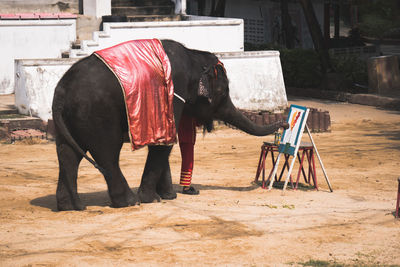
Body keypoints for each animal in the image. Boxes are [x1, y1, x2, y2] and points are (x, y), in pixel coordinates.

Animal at [53, 39, 290, 211]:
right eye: (223, 92)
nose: (286, 124)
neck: (194, 54)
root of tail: (62, 91)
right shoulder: (174, 91)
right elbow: (165, 142)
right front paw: (152, 199)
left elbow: (166, 139)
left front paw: (168, 196)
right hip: (98, 114)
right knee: (107, 154)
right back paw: (129, 202)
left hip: (72, 119)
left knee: (67, 154)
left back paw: (70, 206)